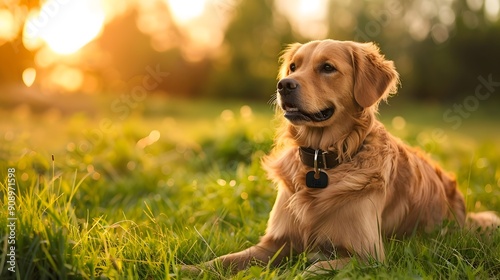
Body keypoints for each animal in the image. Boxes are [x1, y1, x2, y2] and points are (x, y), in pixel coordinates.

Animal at [180, 39, 500, 276]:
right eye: (293, 66)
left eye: (327, 68)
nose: (284, 85)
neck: (321, 163)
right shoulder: (274, 243)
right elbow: (225, 259)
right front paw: (188, 268)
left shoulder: (369, 256)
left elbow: (311, 269)